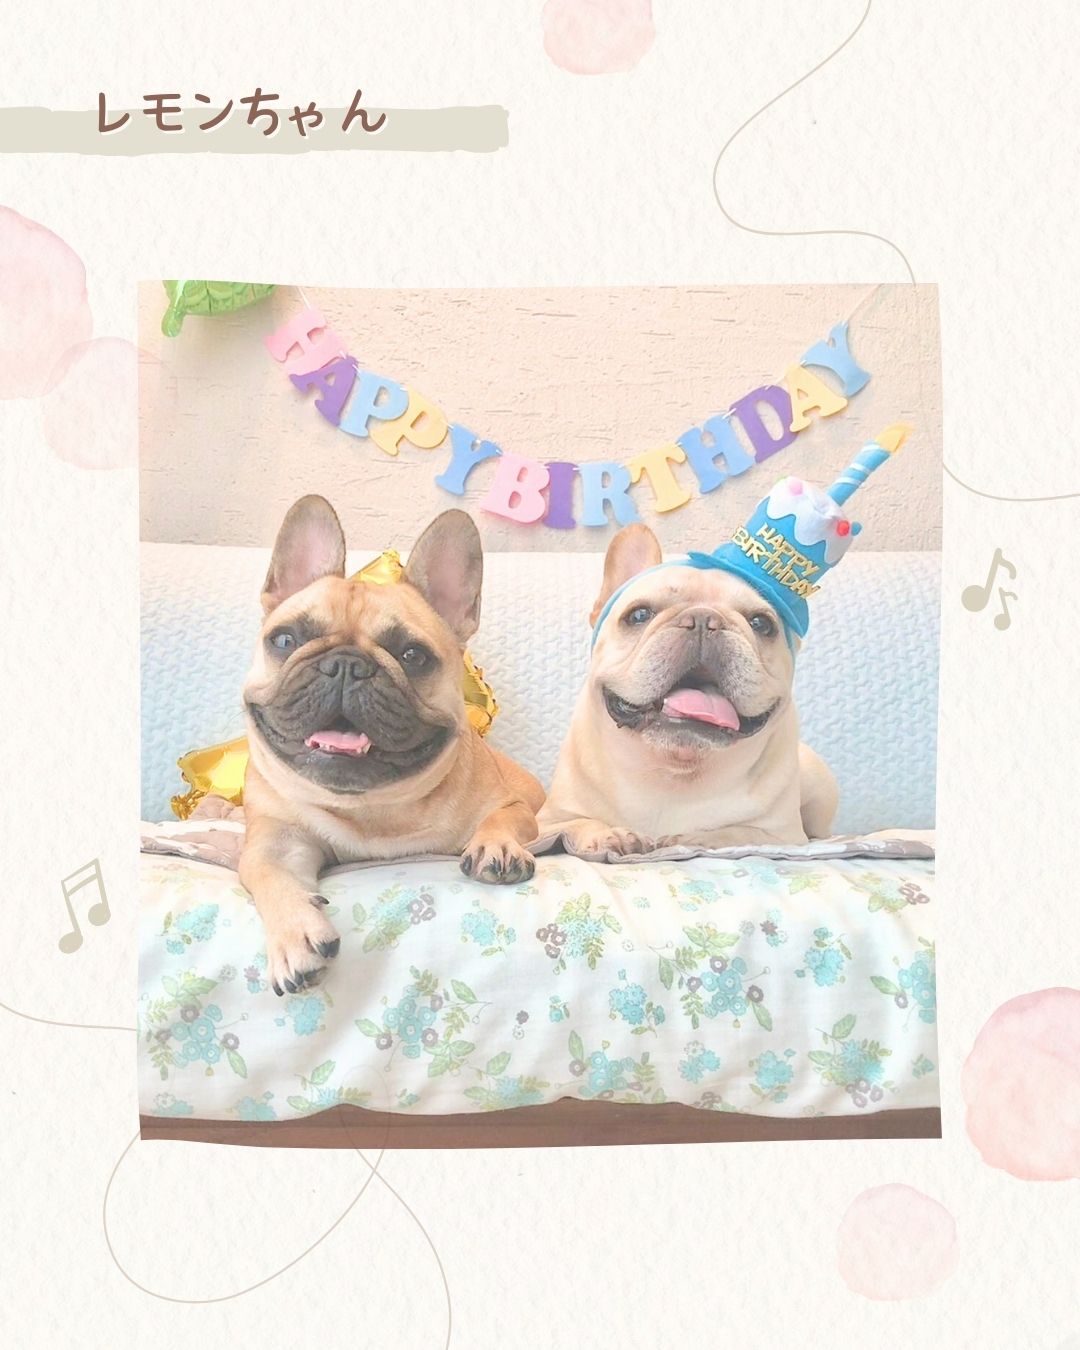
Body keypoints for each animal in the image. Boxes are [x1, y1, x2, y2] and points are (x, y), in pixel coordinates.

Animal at [239, 495, 544, 994]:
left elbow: (503, 819)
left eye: (413, 656)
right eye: (285, 639)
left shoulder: (513, 804)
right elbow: (267, 872)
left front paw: (495, 845)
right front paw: (294, 933)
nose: (345, 665)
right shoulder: (276, 840)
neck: (374, 809)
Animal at [539, 523, 837, 854]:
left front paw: (695, 837)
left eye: (762, 623)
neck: (674, 769)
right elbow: (578, 823)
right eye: (638, 615)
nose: (704, 618)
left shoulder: (784, 837)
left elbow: (738, 832)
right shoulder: (547, 822)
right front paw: (609, 834)